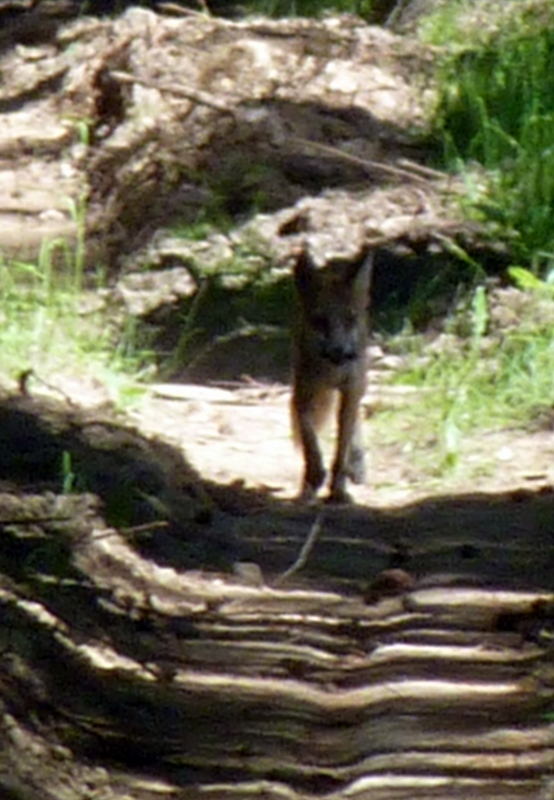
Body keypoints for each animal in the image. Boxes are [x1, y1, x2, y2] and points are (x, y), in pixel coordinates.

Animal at [288, 247, 370, 504]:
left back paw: (357, 464)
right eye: (319, 321)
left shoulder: (351, 389)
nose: (341, 352)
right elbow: (310, 443)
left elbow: (341, 450)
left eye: (350, 319)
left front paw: (338, 489)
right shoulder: (303, 393)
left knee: (355, 421)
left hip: (357, 384)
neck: (331, 373)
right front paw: (312, 480)